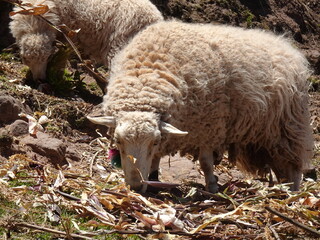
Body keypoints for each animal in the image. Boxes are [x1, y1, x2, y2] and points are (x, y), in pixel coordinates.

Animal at [89, 20, 314, 193]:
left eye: (153, 142)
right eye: (118, 141)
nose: (135, 187)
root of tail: (283, 43)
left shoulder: (210, 126)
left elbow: (205, 162)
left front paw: (212, 187)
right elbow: (155, 160)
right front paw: (153, 179)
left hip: (288, 125)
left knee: (294, 165)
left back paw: (292, 194)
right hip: (263, 136)